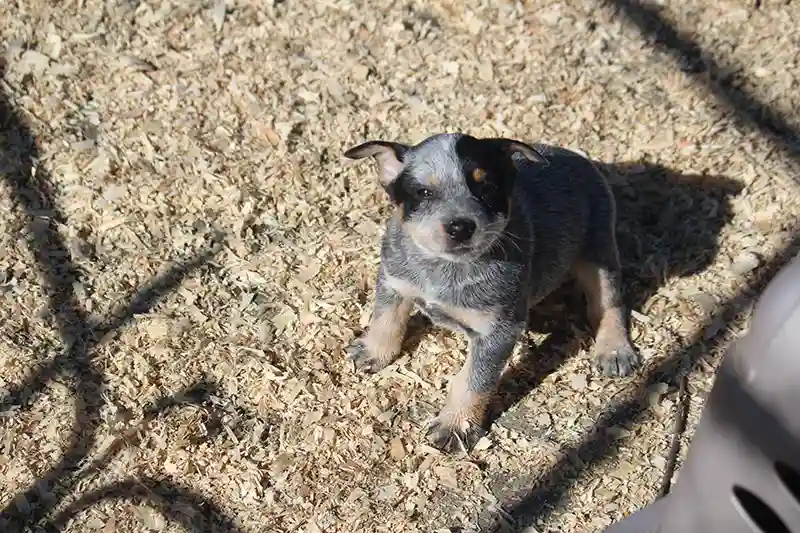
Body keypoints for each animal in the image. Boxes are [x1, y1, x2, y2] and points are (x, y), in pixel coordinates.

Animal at [342, 134, 636, 454]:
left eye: (487, 187)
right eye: (424, 192)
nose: (460, 226)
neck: (441, 269)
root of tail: (577, 157)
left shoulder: (498, 330)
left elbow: (475, 381)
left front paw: (455, 425)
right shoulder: (393, 279)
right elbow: (385, 318)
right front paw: (373, 351)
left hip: (599, 253)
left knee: (609, 303)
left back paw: (614, 350)